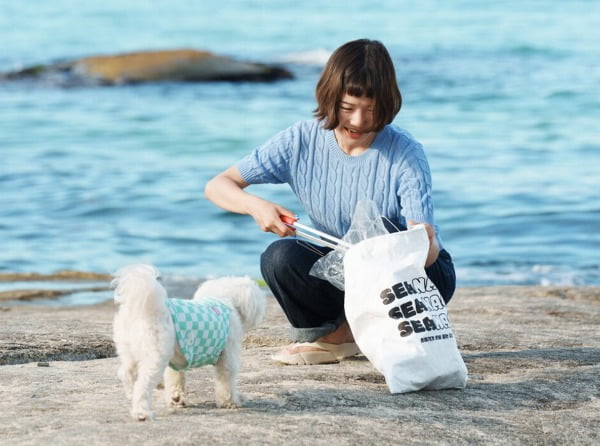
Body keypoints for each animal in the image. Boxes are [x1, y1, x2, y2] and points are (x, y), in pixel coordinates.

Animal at [110, 264, 264, 420]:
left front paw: (176, 398)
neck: (224, 300)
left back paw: (131, 394)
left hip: (128, 349)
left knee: (126, 372)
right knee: (142, 384)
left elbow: (175, 378)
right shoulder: (227, 354)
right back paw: (142, 412)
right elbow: (226, 380)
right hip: (155, 354)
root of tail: (143, 309)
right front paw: (232, 401)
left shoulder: (176, 359)